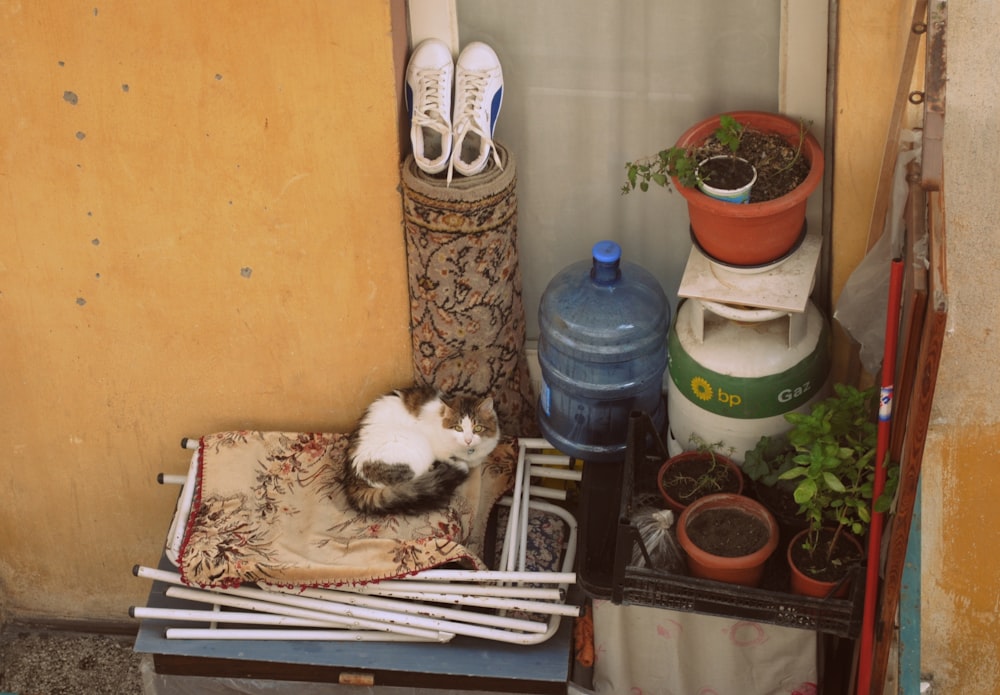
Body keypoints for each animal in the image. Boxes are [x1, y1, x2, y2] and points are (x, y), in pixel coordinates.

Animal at [342, 386, 500, 516]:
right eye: (458, 428)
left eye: (477, 428)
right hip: (417, 447)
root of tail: (353, 477)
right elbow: (453, 459)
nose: (468, 440)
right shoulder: (439, 449)